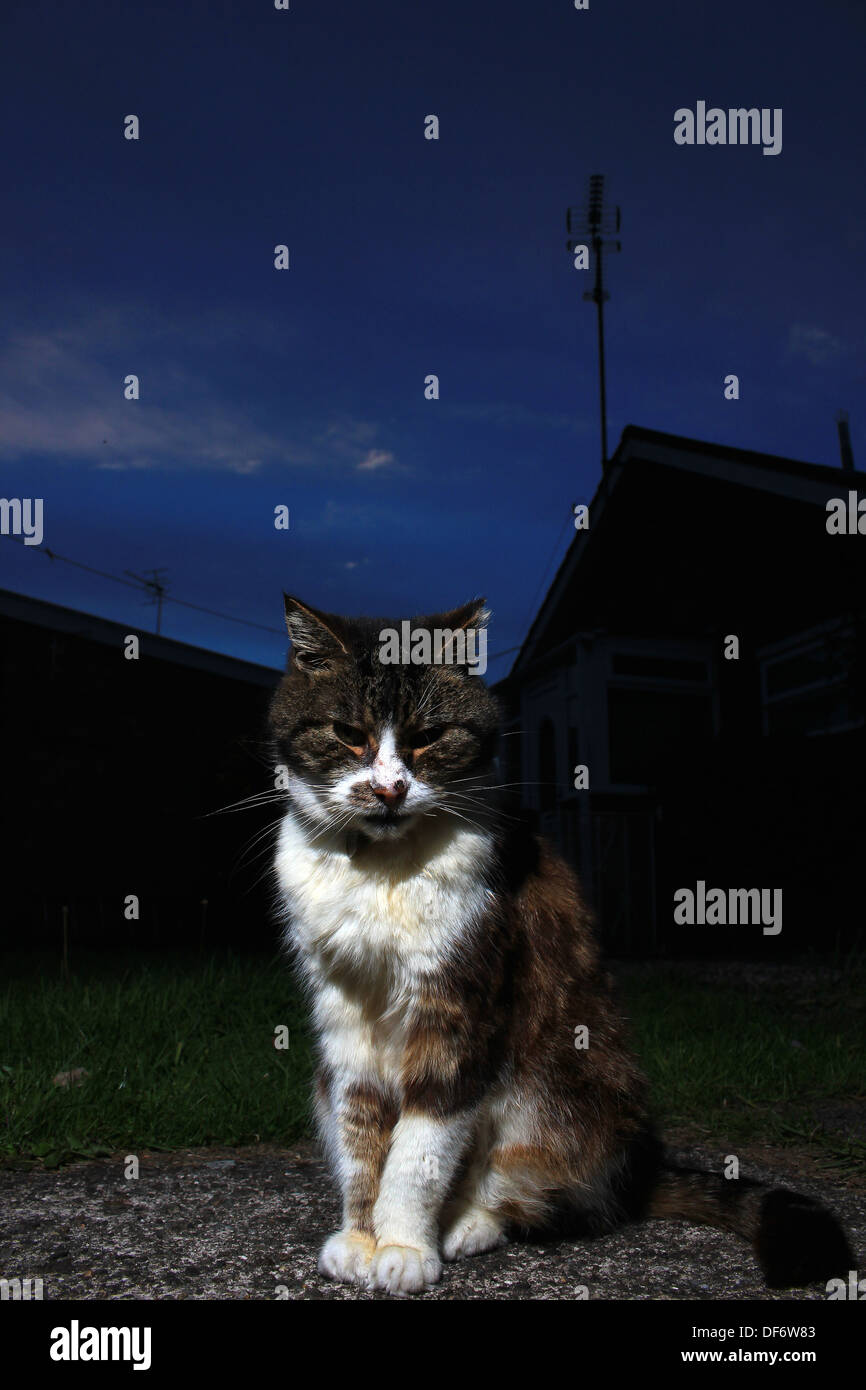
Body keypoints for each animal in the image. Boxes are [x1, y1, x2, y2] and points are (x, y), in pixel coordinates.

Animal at [269, 592, 856, 1295]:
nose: (389, 789)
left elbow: (420, 1146)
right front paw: (361, 1237)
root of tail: (636, 1171)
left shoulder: (460, 1005)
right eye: (347, 734)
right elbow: (362, 1134)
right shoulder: (343, 1015)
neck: (382, 873)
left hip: (551, 1089)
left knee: (542, 1192)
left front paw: (405, 1247)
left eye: (428, 737)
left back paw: (466, 1226)